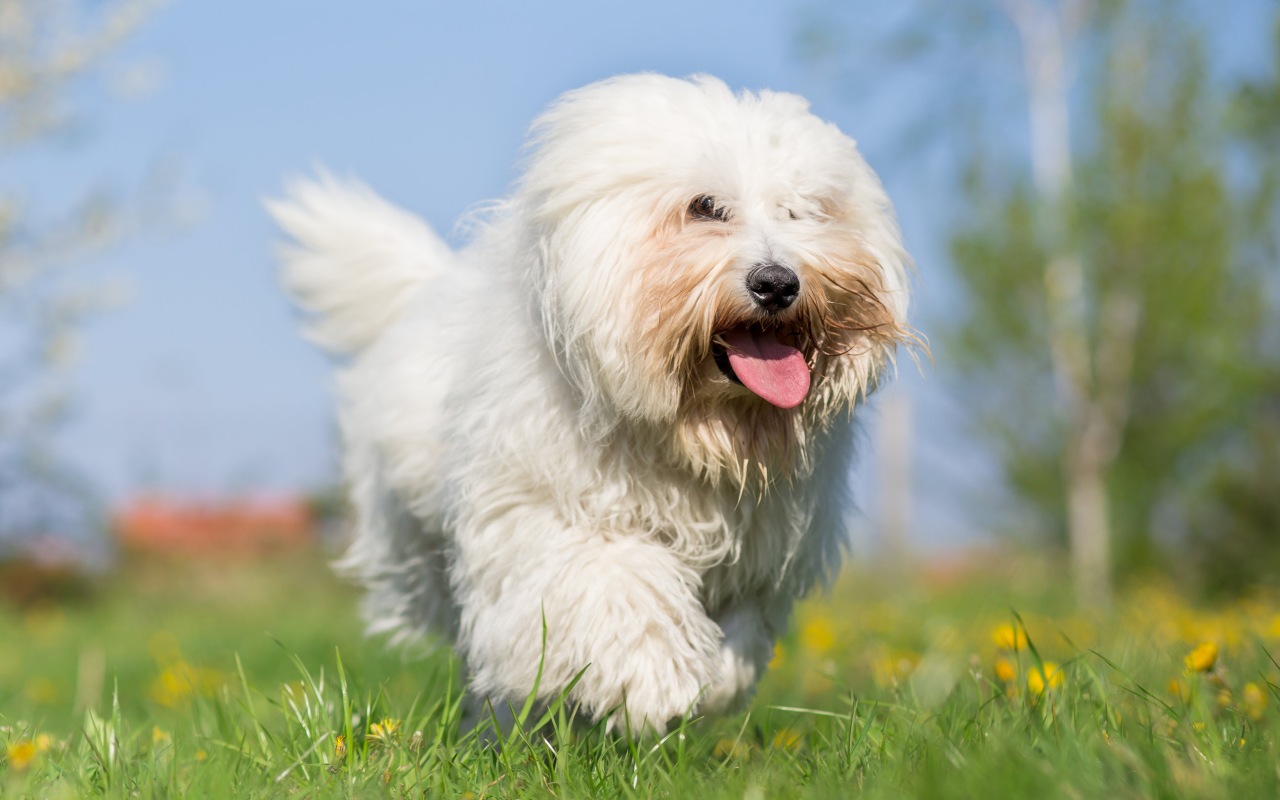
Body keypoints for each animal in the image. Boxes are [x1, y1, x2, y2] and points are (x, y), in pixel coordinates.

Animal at [270, 73, 911, 732]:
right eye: (704, 206)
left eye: (803, 210)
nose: (778, 283)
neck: (695, 426)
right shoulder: (547, 515)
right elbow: (612, 584)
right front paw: (654, 680)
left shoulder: (762, 555)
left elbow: (741, 632)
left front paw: (714, 683)